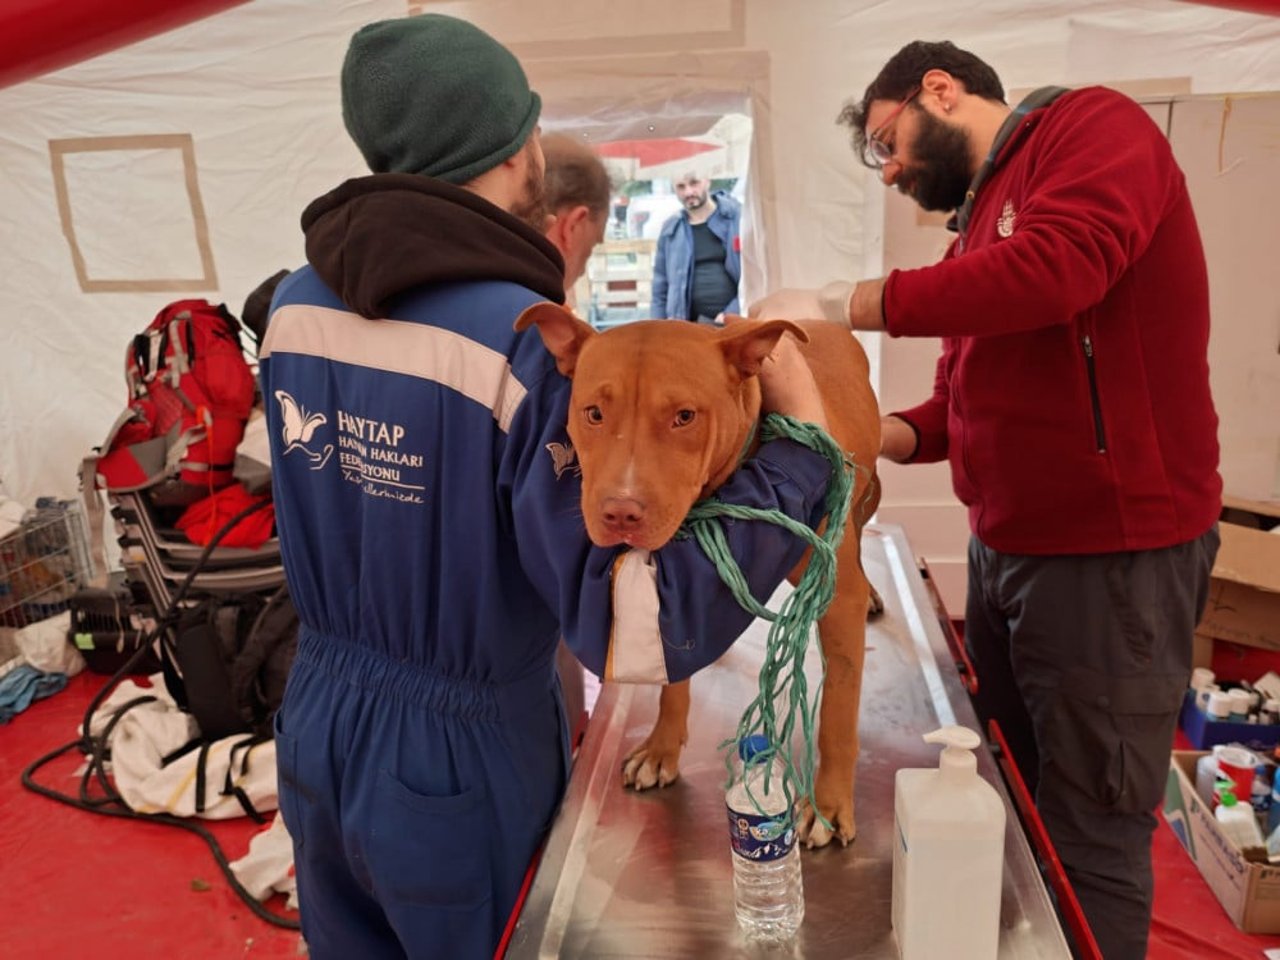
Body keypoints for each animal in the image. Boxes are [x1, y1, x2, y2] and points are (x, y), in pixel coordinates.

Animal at [512, 302, 880, 849]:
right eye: (593, 413)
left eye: (684, 416)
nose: (620, 513)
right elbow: (672, 671)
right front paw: (662, 747)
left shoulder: (838, 599)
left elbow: (838, 710)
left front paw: (829, 805)